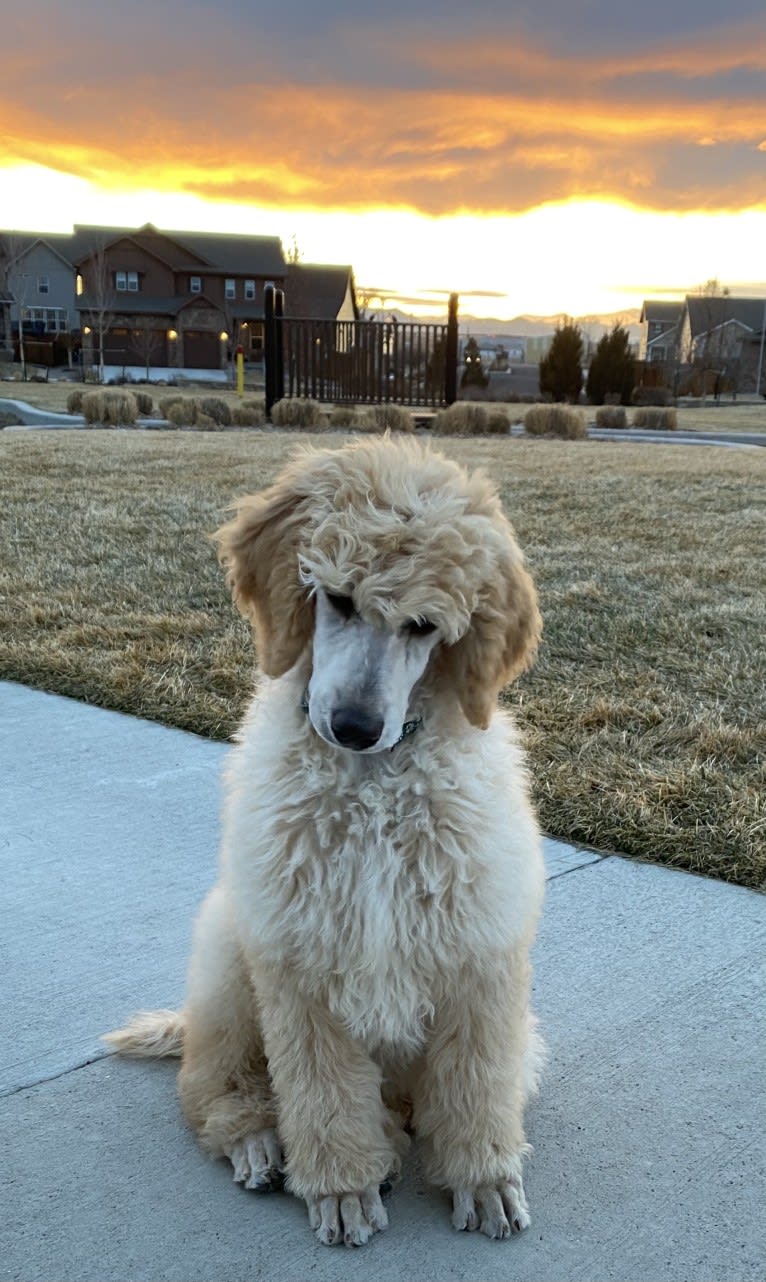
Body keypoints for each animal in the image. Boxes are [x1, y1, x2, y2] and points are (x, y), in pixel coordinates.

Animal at [108, 430, 548, 1240]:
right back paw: (257, 1138)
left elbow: (476, 1083)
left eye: (423, 626)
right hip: (230, 954)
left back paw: (400, 1138)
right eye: (338, 599)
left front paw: (484, 1179)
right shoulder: (299, 959)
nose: (352, 725)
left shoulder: (479, 955)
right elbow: (320, 1095)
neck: (371, 786)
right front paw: (343, 1189)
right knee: (212, 1086)